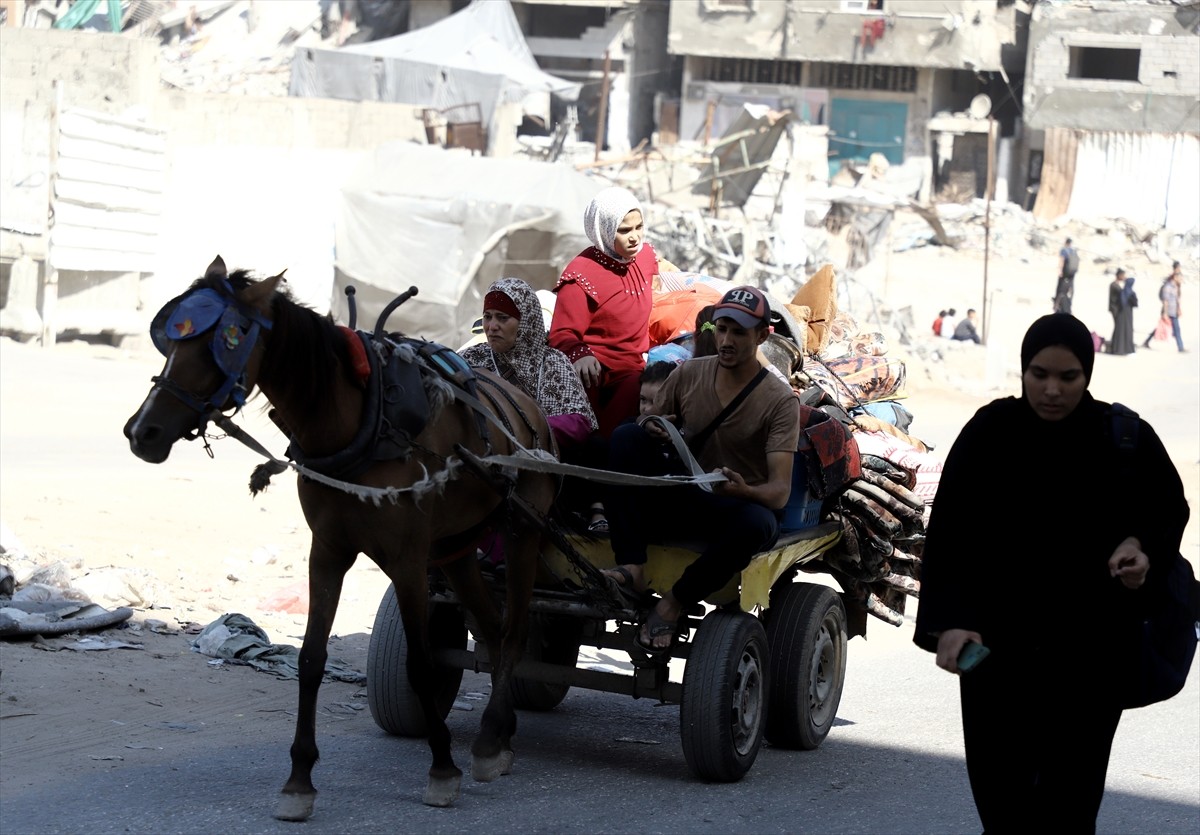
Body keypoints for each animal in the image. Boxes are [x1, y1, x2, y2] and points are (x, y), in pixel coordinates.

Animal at [119, 257, 559, 820]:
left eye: (224, 344)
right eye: (171, 342)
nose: (142, 432)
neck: (362, 422)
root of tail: (530, 408)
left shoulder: (408, 559)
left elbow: (420, 663)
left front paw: (442, 768)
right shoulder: (327, 551)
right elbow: (311, 660)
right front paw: (299, 779)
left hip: (522, 531)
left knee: (514, 630)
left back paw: (486, 743)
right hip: (456, 549)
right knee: (492, 628)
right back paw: (497, 735)